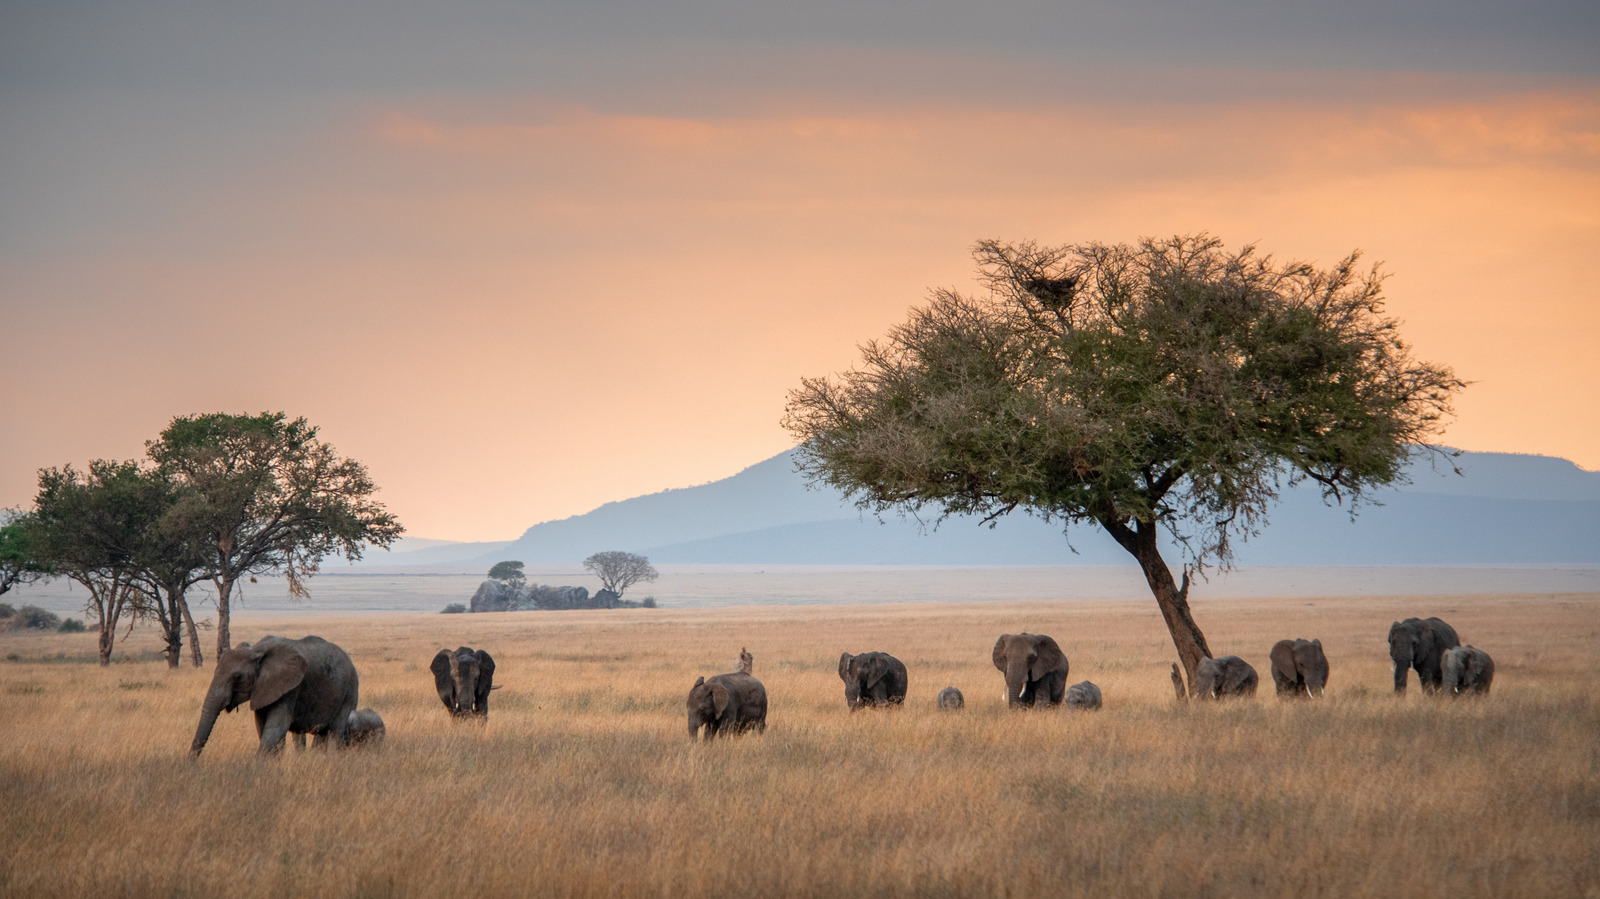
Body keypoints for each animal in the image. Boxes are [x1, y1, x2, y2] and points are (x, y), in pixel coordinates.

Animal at [190, 633, 360, 751]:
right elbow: (262, 727)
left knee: (335, 732)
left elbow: (275, 729)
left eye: (238, 677)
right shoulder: (263, 689)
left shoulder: (290, 688)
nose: (192, 765)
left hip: (349, 692)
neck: (256, 650)